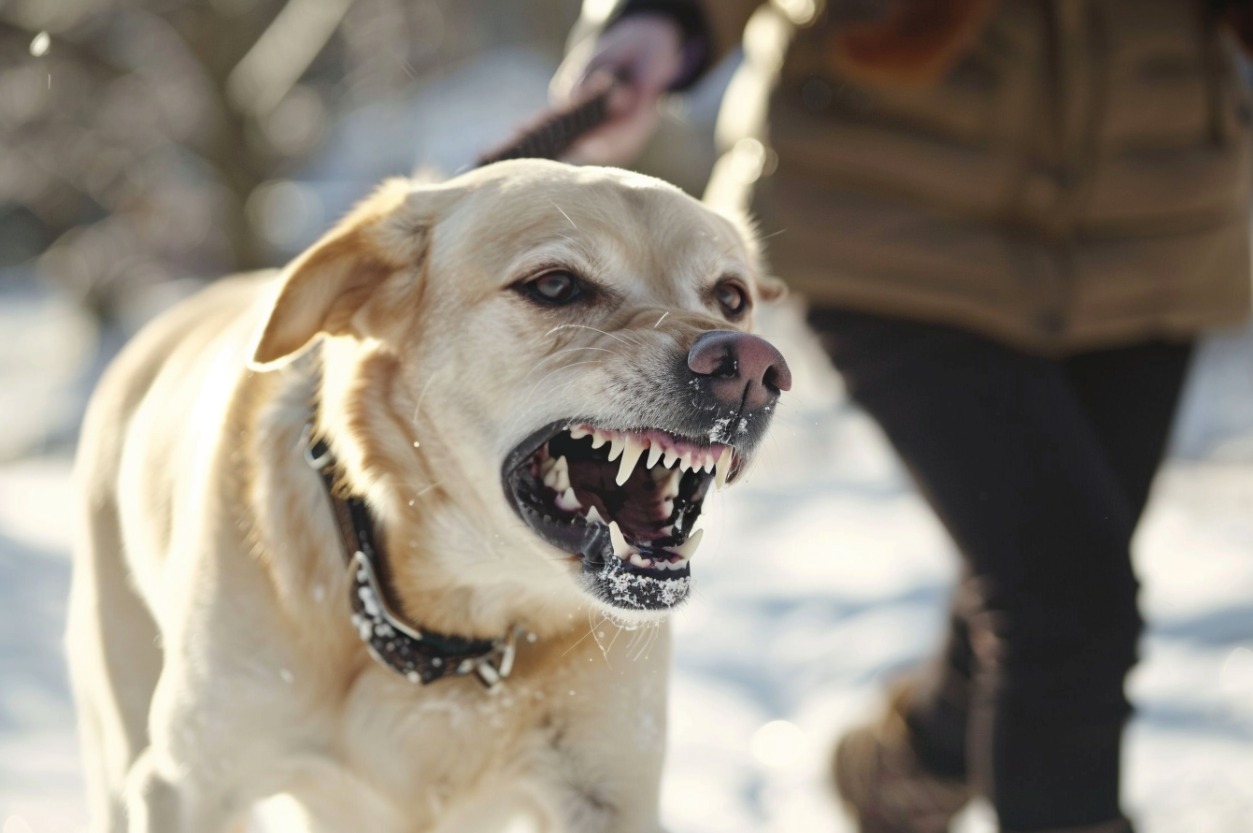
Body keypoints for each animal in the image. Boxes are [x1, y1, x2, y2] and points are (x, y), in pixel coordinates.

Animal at [66, 157, 791, 831]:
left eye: (731, 296)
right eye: (555, 285)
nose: (753, 368)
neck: (455, 620)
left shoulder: (610, 792)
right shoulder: (185, 787)